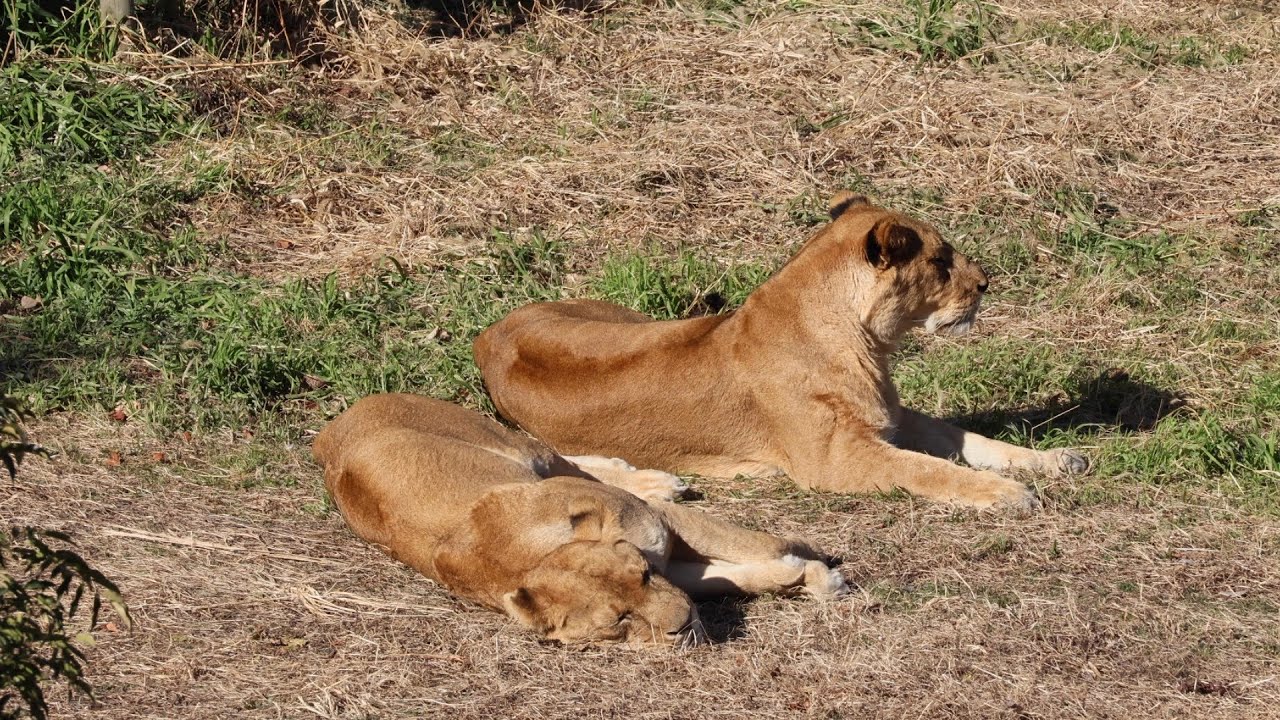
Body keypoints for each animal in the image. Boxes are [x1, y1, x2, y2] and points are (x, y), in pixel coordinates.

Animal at [313, 394, 847, 647]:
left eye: (643, 576)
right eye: (620, 620)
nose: (684, 626)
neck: (533, 561)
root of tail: (327, 432)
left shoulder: (661, 526)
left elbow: (760, 543)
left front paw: (819, 568)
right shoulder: (675, 566)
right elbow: (739, 575)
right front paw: (802, 577)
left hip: (515, 446)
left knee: (566, 458)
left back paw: (655, 479)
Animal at [473, 193, 1088, 511]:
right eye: (941, 261)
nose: (985, 283)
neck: (868, 339)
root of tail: (488, 335)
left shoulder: (892, 419)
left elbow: (973, 441)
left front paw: (1056, 460)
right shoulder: (837, 459)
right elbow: (932, 470)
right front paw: (1007, 492)